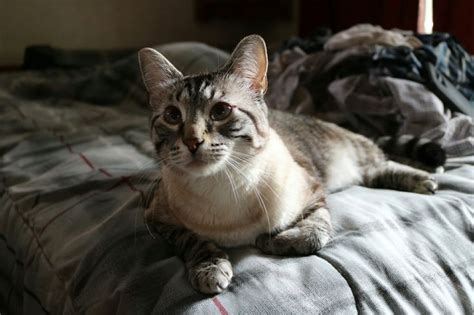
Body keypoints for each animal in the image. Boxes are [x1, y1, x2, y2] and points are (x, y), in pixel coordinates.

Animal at [139, 35, 438, 296]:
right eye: (172, 115)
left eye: (221, 111)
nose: (192, 141)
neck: (222, 186)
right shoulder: (157, 219)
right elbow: (193, 241)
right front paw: (210, 268)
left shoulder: (314, 191)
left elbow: (314, 234)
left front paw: (270, 241)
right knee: (372, 171)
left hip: (351, 155)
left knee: (381, 160)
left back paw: (426, 176)